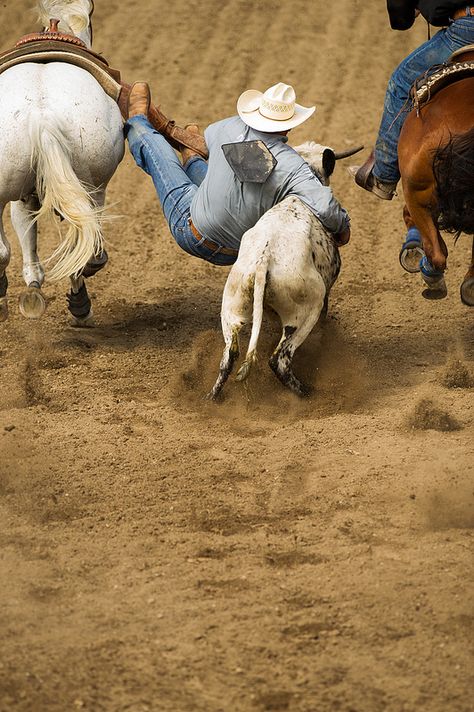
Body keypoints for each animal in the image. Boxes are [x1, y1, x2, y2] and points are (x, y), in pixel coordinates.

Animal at [0, 1, 124, 324]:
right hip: (92, 185)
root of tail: (42, 114)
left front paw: (32, 286)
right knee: (85, 239)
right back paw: (79, 303)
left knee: (3, 250)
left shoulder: (22, 195)